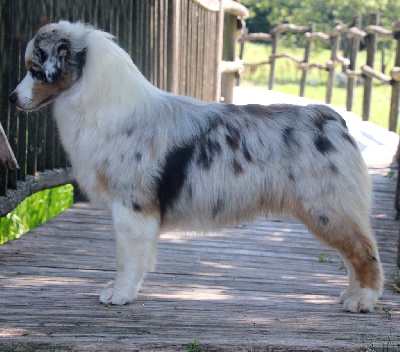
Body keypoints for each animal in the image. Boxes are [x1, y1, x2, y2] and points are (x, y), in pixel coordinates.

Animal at [9, 21, 382, 314]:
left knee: (365, 253)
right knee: (354, 255)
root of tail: (334, 119)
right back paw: (350, 295)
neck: (100, 102)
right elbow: (139, 258)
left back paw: (363, 300)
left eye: (35, 69)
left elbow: (127, 258)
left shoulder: (132, 206)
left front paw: (119, 294)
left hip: (327, 208)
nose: (11, 99)